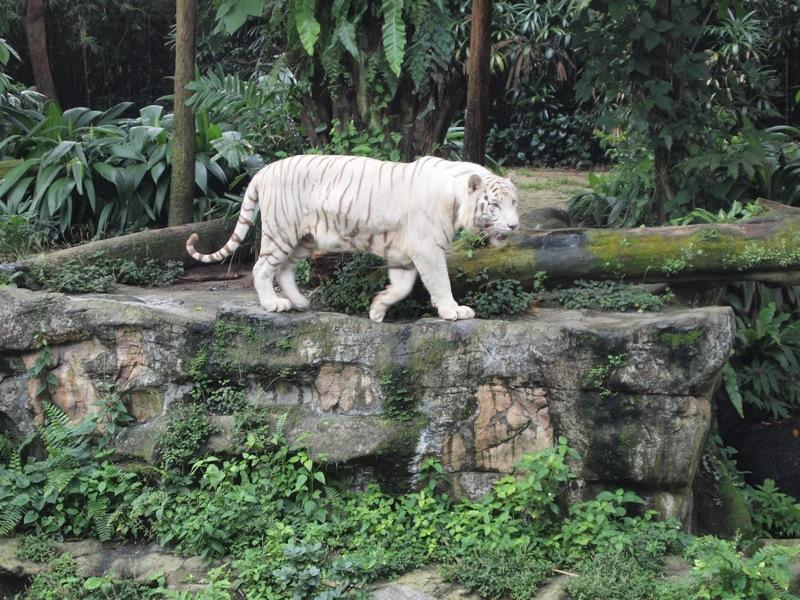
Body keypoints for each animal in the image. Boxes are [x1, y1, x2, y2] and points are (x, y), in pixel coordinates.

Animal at [186, 155, 519, 323]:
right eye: (495, 205)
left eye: (514, 201)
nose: (515, 225)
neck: (456, 200)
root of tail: (263, 170)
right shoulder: (427, 247)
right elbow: (440, 281)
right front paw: (453, 311)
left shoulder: (403, 253)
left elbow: (402, 286)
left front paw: (378, 308)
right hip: (282, 231)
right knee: (262, 267)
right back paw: (273, 304)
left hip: (305, 238)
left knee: (285, 269)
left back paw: (300, 303)